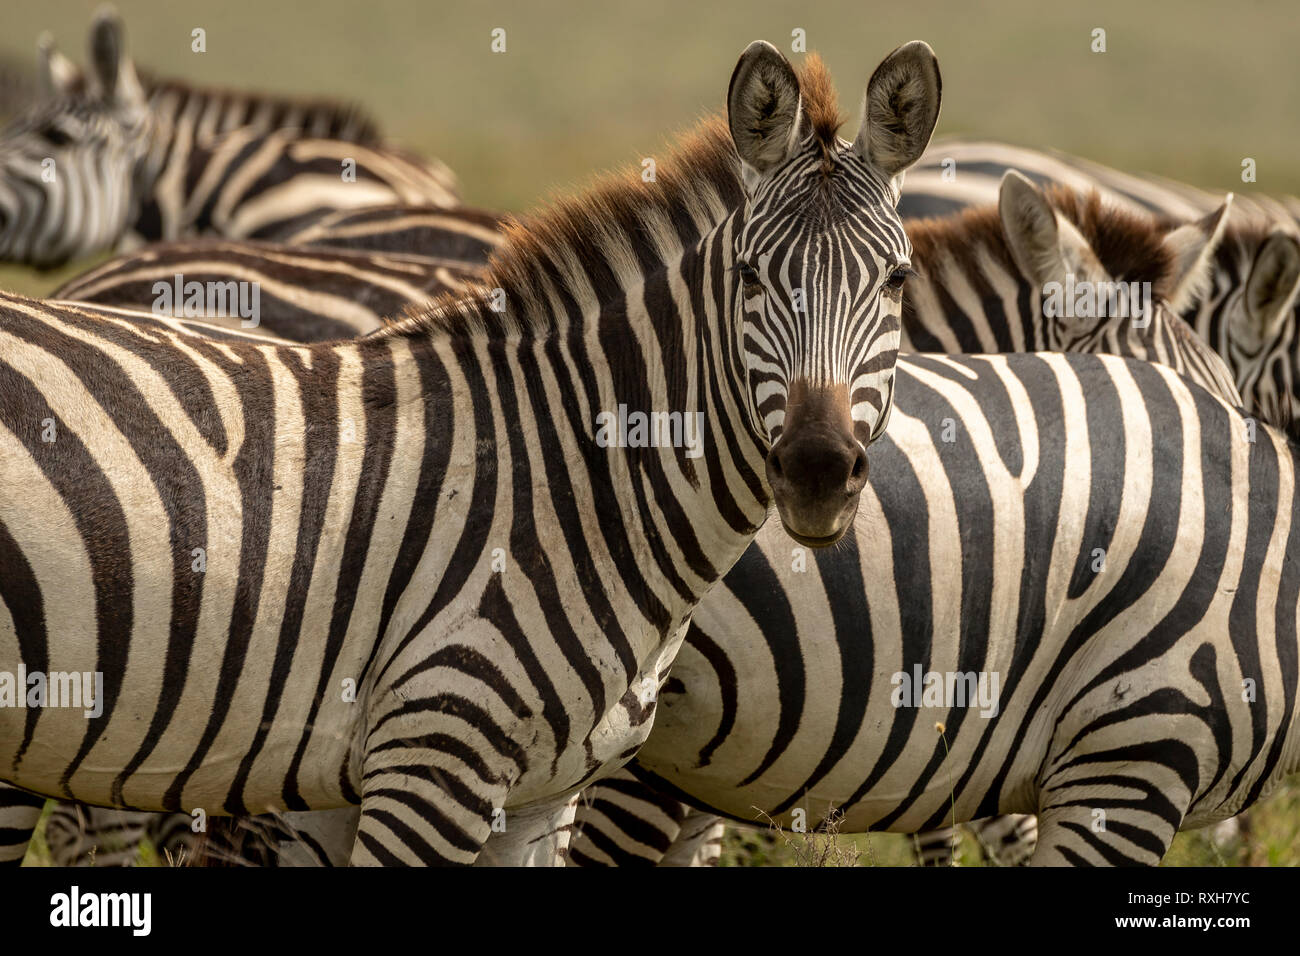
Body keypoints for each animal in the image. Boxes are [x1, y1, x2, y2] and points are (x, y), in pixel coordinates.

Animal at [0, 40, 940, 866]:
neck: (576, 480)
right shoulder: (431, 760)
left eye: (897, 281)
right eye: (748, 276)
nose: (817, 471)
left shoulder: (538, 800)